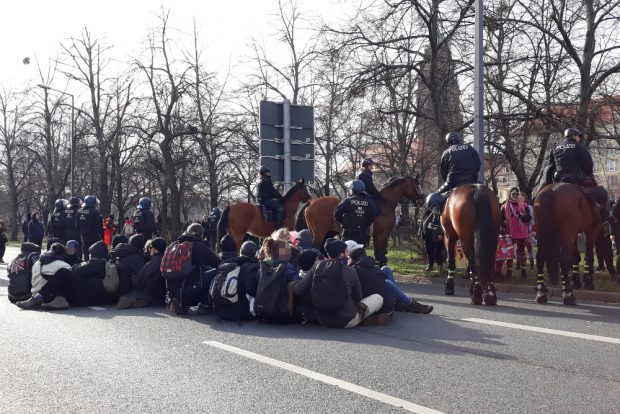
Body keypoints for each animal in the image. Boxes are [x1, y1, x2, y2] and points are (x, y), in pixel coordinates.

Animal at [296, 175, 426, 262]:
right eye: (417, 185)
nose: (422, 201)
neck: (385, 203)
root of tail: (311, 202)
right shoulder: (383, 233)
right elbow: (381, 252)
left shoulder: (377, 234)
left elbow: (378, 252)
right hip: (319, 233)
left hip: (328, 232)